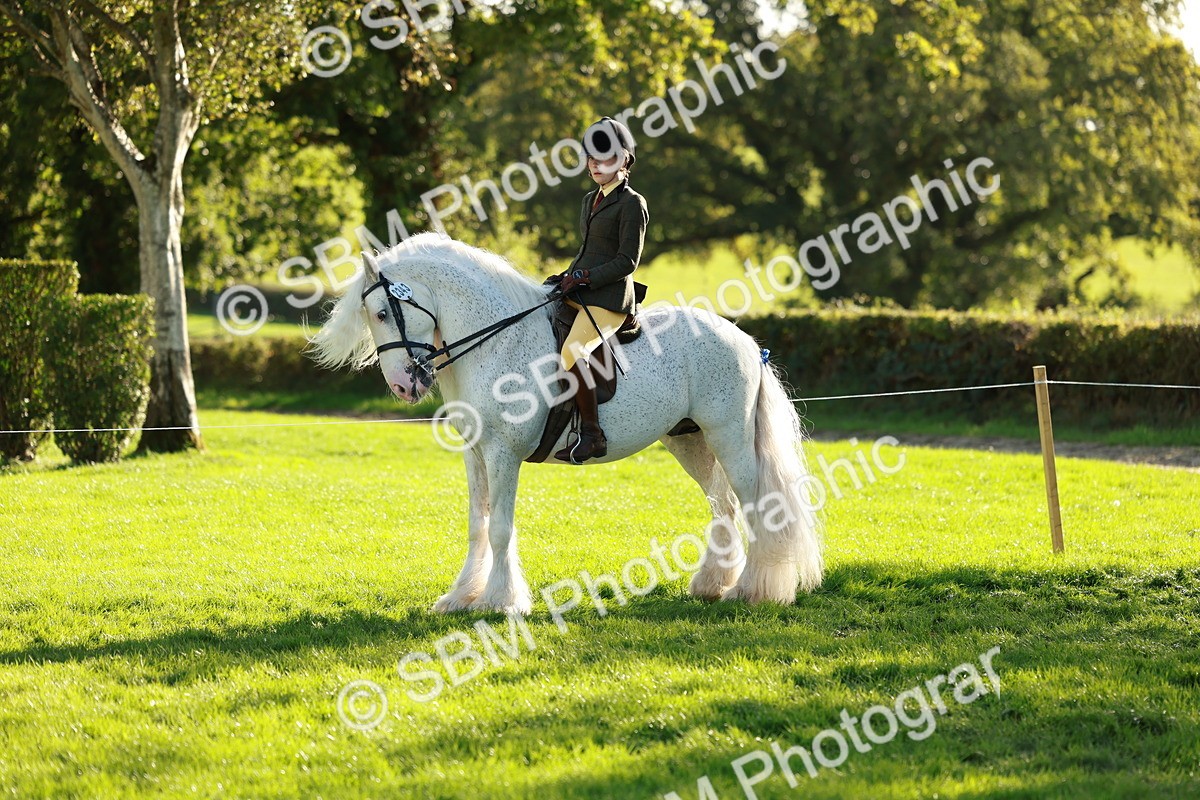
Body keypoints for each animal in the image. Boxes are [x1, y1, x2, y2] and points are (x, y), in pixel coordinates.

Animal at [309, 233, 823, 615]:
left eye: (381, 312)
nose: (403, 386)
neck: (493, 339)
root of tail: (743, 338)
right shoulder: (475, 454)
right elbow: (478, 525)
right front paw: (461, 597)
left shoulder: (502, 453)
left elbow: (500, 528)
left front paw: (501, 602)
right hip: (690, 441)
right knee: (724, 506)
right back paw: (712, 585)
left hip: (728, 435)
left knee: (756, 504)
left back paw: (753, 591)